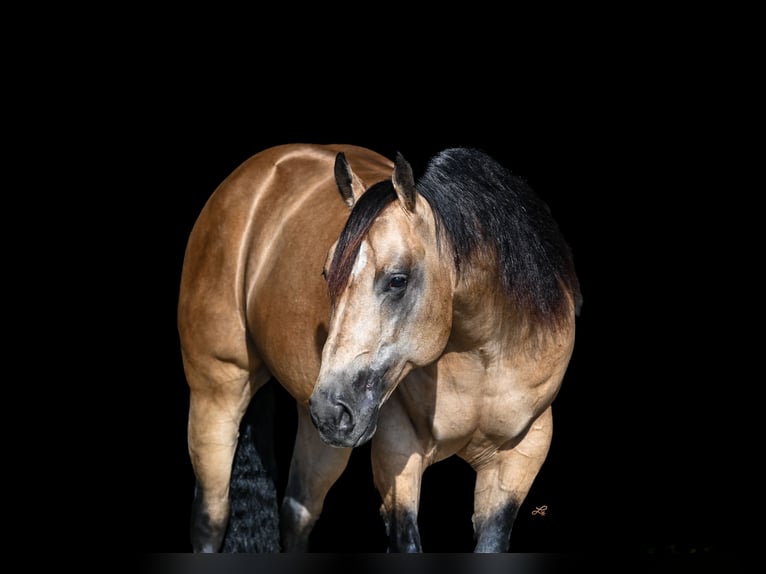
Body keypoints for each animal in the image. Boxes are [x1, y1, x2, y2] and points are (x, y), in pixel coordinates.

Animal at [177, 143, 582, 553]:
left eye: (397, 280)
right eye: (326, 273)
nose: (331, 409)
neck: (483, 357)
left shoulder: (519, 459)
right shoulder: (397, 453)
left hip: (320, 435)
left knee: (296, 512)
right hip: (218, 393)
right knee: (210, 518)